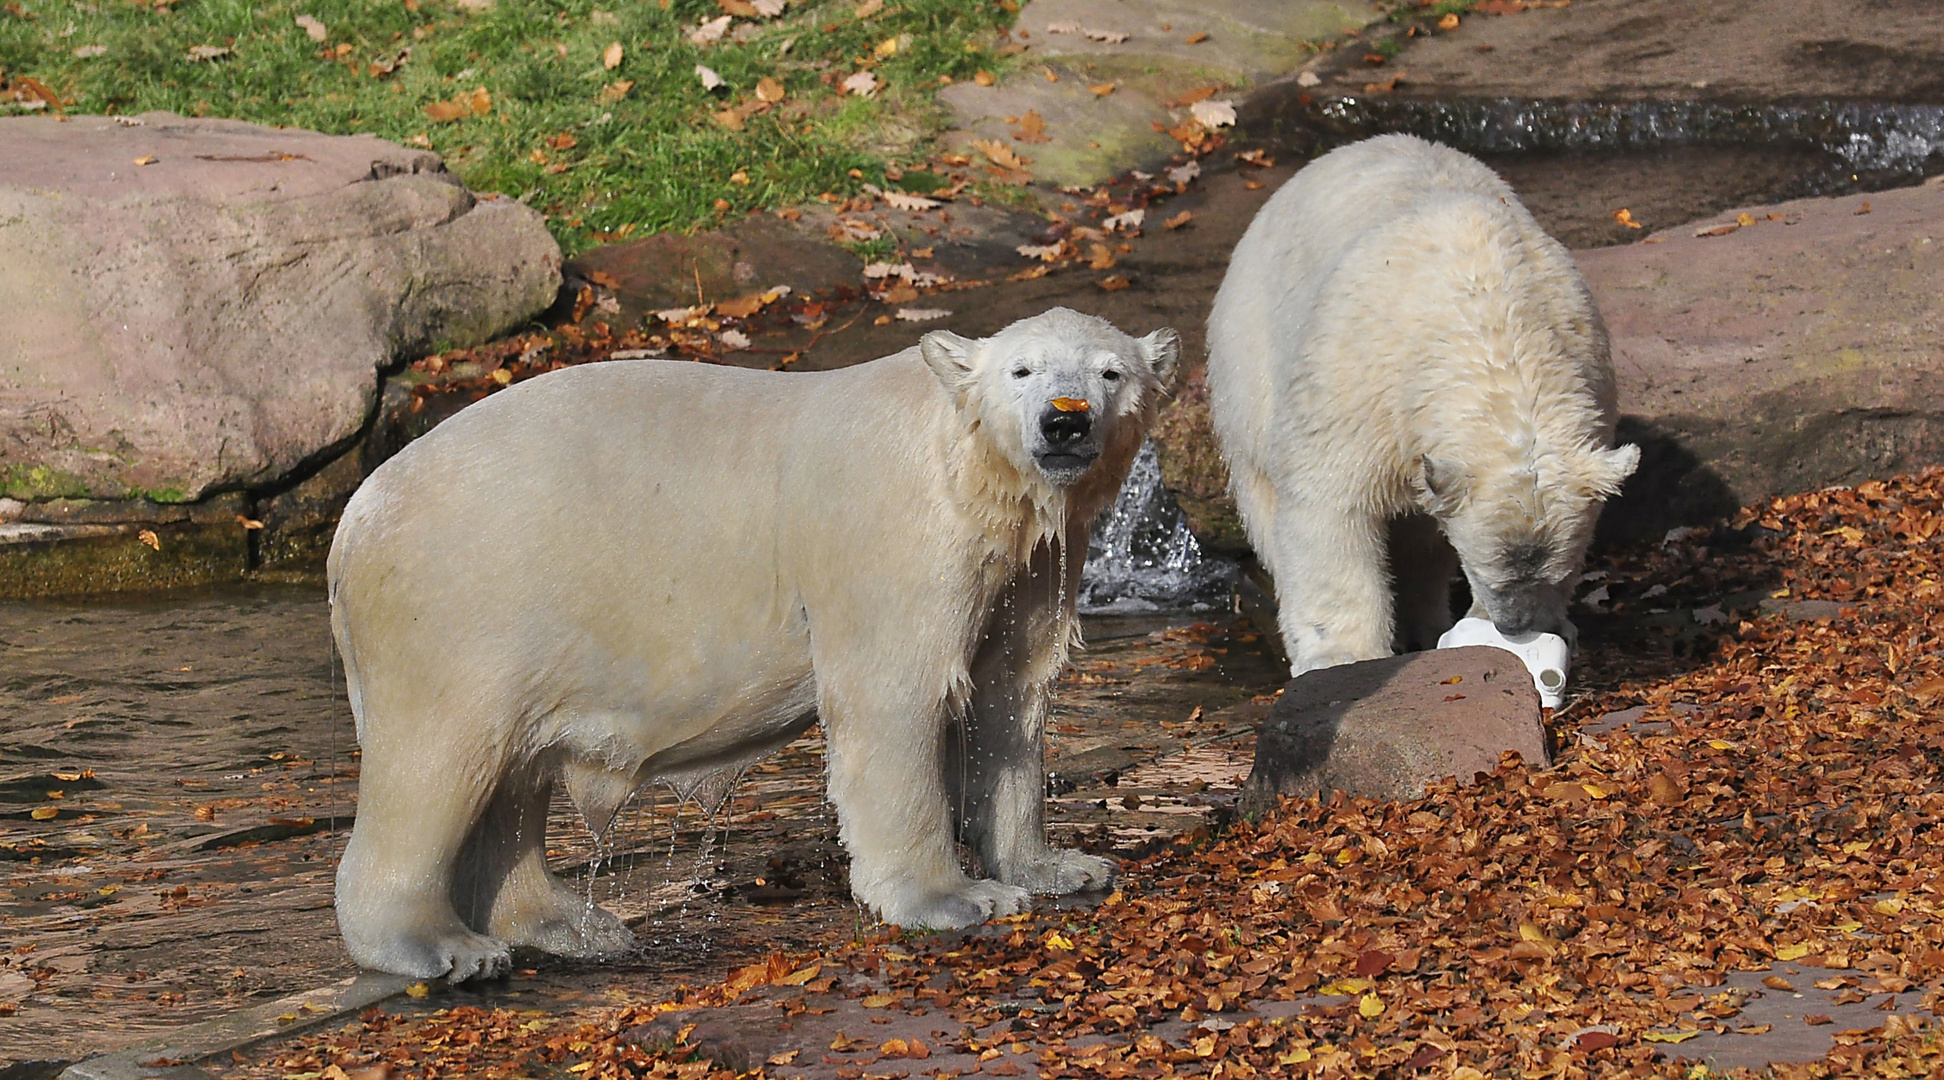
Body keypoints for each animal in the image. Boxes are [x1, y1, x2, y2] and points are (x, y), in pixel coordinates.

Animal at [326, 303, 1174, 978]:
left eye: (1110, 372)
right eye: (1021, 371)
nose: (1065, 420)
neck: (962, 462)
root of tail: (353, 518)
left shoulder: (1026, 563)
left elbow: (1010, 697)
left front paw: (1062, 866)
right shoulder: (894, 536)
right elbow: (895, 698)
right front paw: (956, 898)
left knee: (512, 778)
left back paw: (573, 925)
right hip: (460, 598)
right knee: (439, 759)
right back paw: (442, 948)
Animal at [1213, 135, 1640, 675]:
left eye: (1557, 569)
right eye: (1486, 568)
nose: (1515, 626)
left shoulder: (1587, 372)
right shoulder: (1359, 382)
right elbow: (1330, 503)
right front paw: (1340, 655)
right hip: (1250, 360)